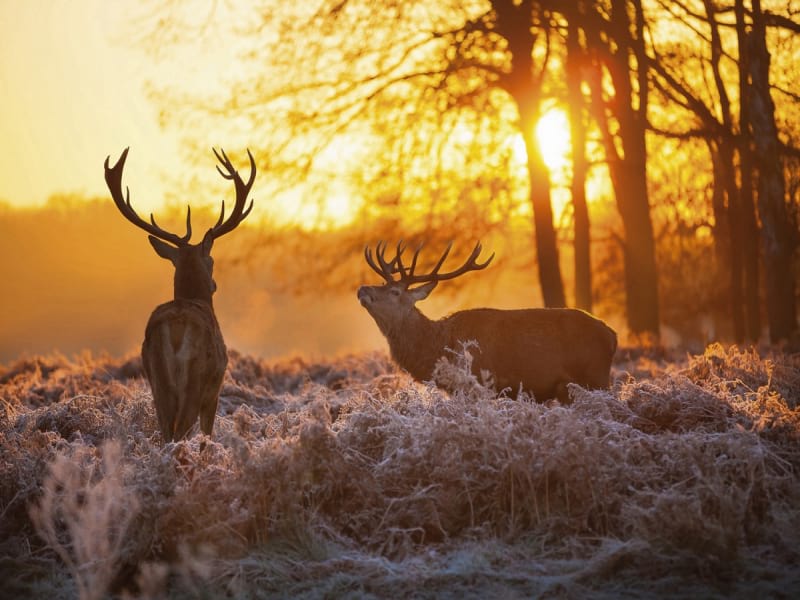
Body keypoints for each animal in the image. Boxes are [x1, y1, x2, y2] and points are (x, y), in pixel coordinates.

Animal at [102, 148, 253, 442]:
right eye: (212, 260)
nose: (214, 284)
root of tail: (175, 328)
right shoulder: (214, 391)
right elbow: (207, 433)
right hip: (195, 378)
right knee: (181, 430)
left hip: (157, 379)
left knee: (165, 432)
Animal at [358, 240, 620, 404]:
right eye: (382, 284)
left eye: (395, 292)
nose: (362, 289)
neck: (438, 347)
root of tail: (612, 335)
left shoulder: (477, 386)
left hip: (596, 377)